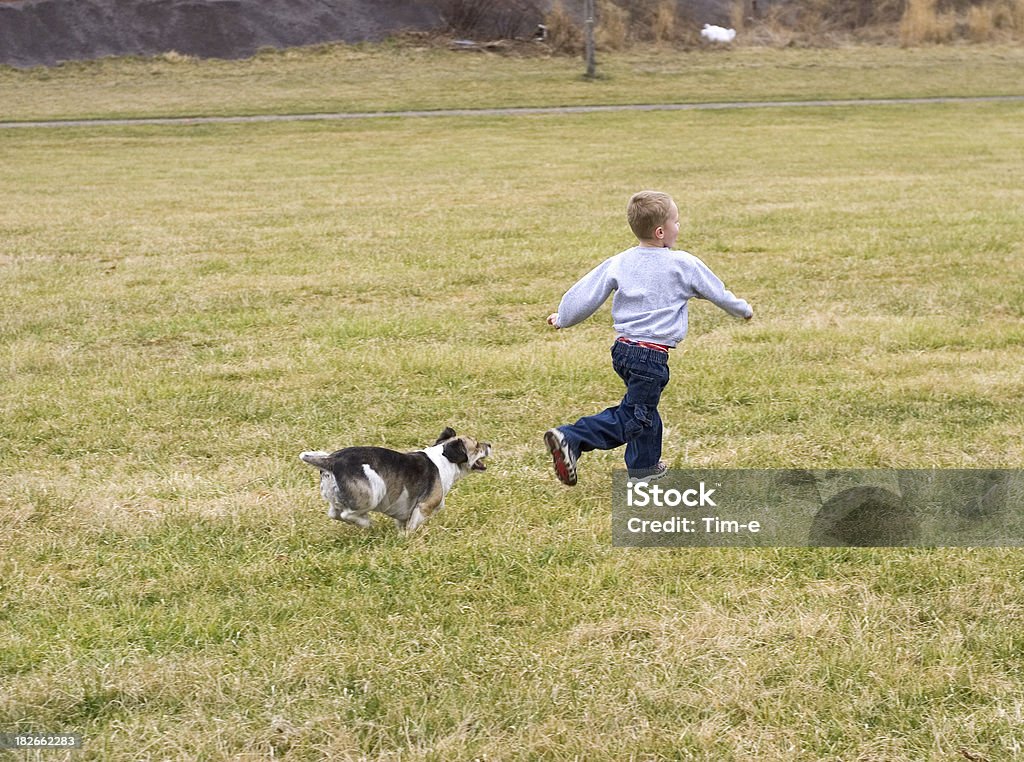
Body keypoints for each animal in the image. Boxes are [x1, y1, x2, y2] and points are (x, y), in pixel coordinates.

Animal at [299, 426, 489, 532]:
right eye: (476, 445)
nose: (490, 444)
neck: (444, 459)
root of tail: (331, 461)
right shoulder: (423, 507)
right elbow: (412, 527)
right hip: (373, 493)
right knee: (348, 513)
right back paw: (366, 523)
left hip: (336, 498)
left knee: (334, 513)